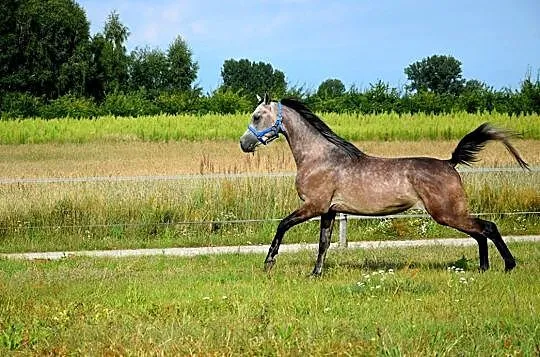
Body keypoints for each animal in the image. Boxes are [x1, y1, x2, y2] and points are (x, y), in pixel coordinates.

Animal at [240, 93, 528, 274]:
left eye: (256, 116)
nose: (244, 143)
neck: (320, 157)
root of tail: (450, 163)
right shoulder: (328, 211)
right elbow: (323, 244)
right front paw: (315, 274)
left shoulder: (314, 206)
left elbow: (282, 225)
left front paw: (269, 262)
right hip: (451, 214)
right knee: (480, 232)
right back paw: (484, 268)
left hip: (447, 213)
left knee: (487, 228)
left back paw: (508, 266)